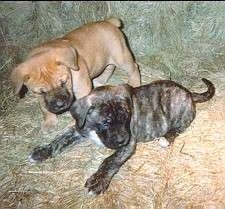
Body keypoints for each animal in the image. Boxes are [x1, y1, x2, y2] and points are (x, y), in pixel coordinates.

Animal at [11, 18, 141, 132]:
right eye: (42, 92)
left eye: (63, 82)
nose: (60, 105)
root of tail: (109, 22)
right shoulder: (39, 97)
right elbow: (45, 108)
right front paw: (49, 122)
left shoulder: (81, 88)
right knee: (110, 67)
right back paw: (100, 80)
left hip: (121, 57)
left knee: (134, 67)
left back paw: (134, 84)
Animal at [29, 77, 215, 195]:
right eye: (106, 122)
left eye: (126, 118)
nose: (121, 140)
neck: (95, 130)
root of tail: (188, 92)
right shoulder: (79, 128)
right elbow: (60, 139)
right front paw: (42, 151)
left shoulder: (129, 144)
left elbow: (110, 160)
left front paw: (98, 181)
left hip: (178, 110)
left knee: (179, 128)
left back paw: (165, 139)